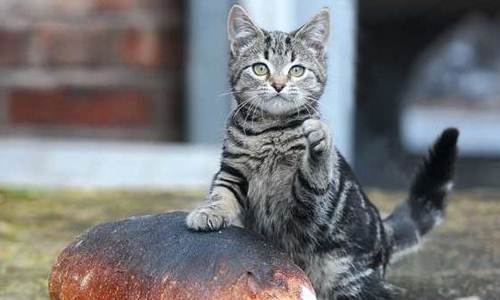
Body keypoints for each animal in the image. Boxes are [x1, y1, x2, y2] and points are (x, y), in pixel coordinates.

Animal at [186, 5, 458, 300]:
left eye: (296, 70)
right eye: (260, 68)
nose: (278, 84)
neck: (271, 130)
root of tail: (384, 235)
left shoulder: (308, 203)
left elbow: (315, 176)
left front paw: (320, 142)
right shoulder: (232, 170)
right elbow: (221, 193)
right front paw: (209, 212)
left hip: (348, 279)